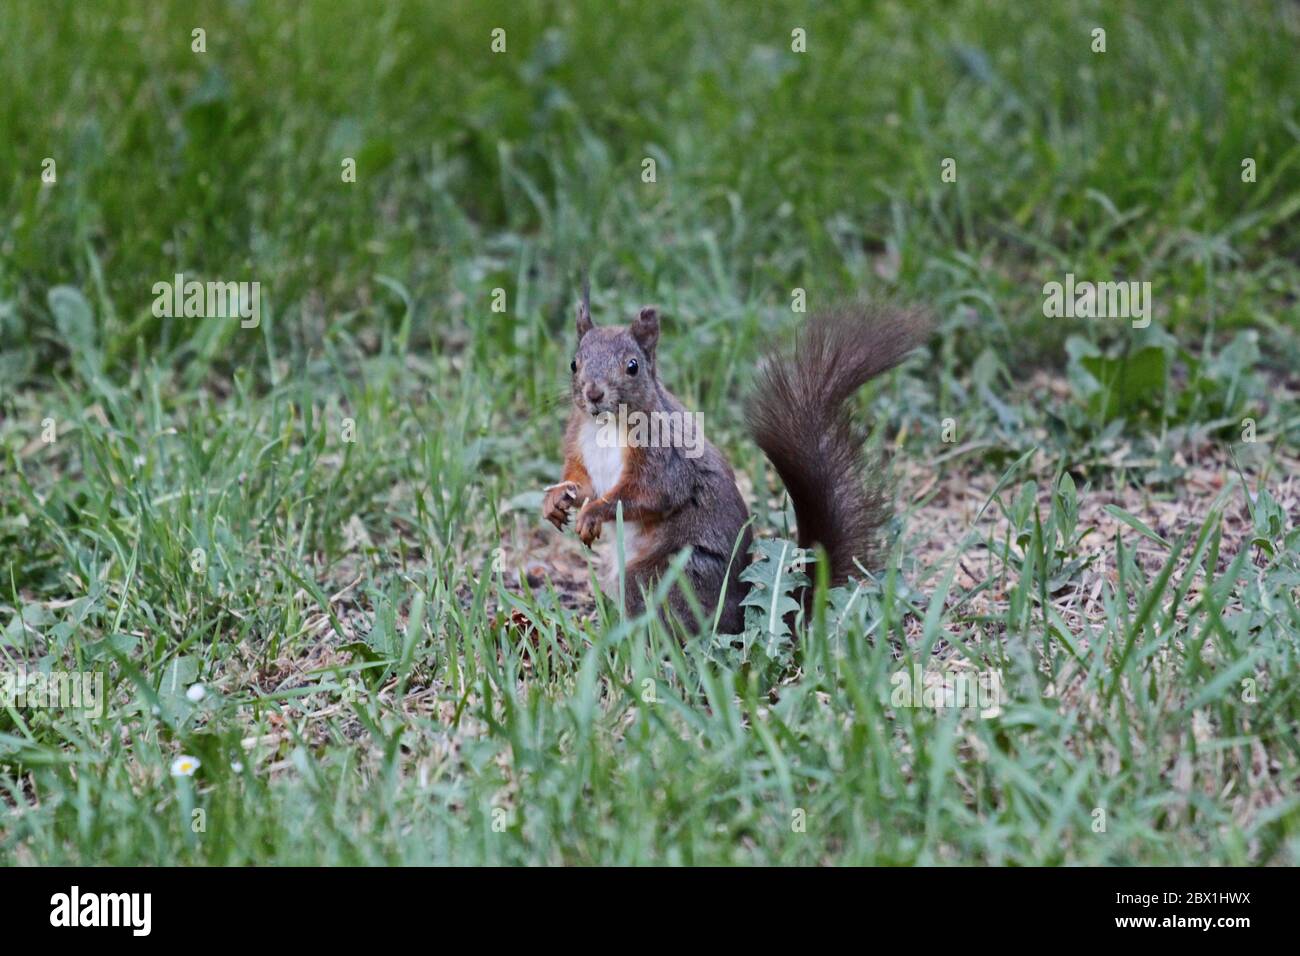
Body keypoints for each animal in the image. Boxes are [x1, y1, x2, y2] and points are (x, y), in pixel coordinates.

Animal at [542, 287, 928, 634]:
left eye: (632, 367)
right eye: (574, 363)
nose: (593, 393)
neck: (605, 426)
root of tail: (737, 619)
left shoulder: (664, 459)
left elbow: (649, 495)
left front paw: (593, 513)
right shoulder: (579, 445)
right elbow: (582, 482)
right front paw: (556, 499)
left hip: (668, 575)